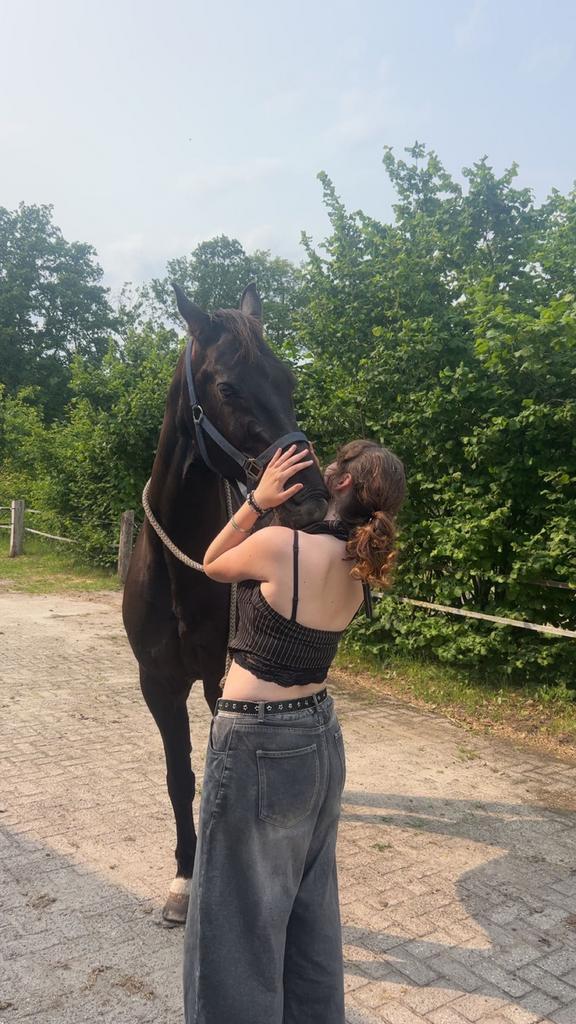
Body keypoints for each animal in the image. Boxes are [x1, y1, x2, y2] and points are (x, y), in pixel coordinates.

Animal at [122, 282, 328, 923]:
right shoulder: (158, 682)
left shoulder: (219, 678)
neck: (183, 568)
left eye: (288, 380)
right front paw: (184, 879)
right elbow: (179, 776)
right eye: (228, 386)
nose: (310, 498)